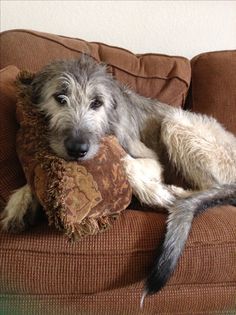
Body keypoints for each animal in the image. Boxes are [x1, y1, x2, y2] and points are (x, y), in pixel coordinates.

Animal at [0, 55, 236, 306]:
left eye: (96, 103)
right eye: (60, 97)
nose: (78, 149)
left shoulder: (150, 157)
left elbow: (124, 162)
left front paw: (154, 192)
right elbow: (37, 174)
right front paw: (21, 201)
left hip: (175, 123)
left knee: (213, 187)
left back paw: (175, 193)